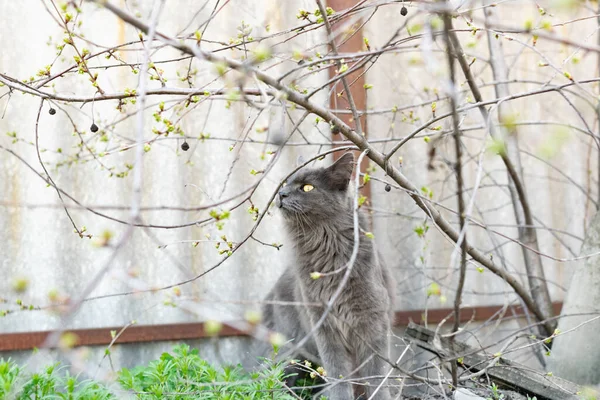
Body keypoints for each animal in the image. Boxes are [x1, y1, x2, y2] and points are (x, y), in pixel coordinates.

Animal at [262, 153, 394, 400]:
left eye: (307, 187)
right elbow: (338, 377)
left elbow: (377, 377)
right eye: (286, 184)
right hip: (292, 345)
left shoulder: (373, 323)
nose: (281, 194)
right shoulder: (324, 327)